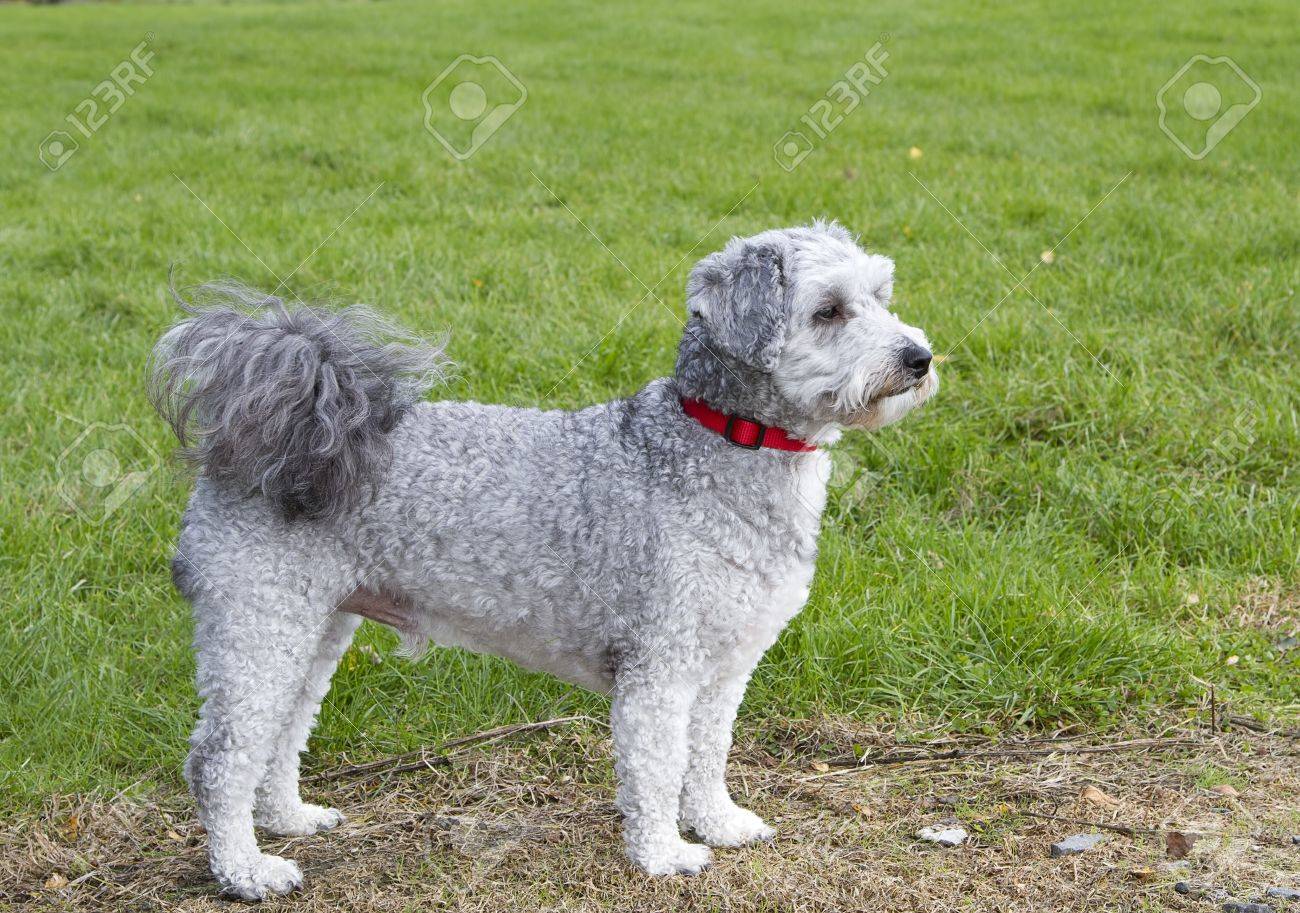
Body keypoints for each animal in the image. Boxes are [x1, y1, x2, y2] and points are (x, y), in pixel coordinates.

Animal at [149, 223, 935, 899]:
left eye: (881, 294)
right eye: (828, 310)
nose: (919, 357)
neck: (716, 445)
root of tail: (273, 431)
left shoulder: (725, 664)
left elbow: (708, 754)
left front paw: (719, 823)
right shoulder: (659, 667)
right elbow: (657, 769)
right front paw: (663, 855)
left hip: (313, 626)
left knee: (283, 732)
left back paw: (289, 819)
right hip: (260, 622)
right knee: (219, 760)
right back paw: (246, 871)